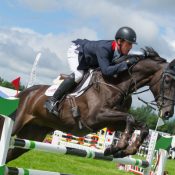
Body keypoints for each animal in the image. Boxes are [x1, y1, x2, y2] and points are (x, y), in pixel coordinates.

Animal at [2, 47, 175, 162]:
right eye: (167, 81)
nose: (167, 113)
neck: (117, 84)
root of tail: (24, 93)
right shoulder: (96, 117)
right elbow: (130, 118)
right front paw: (116, 148)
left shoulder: (111, 122)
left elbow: (141, 126)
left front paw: (125, 151)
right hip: (16, 123)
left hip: (33, 133)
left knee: (12, 152)